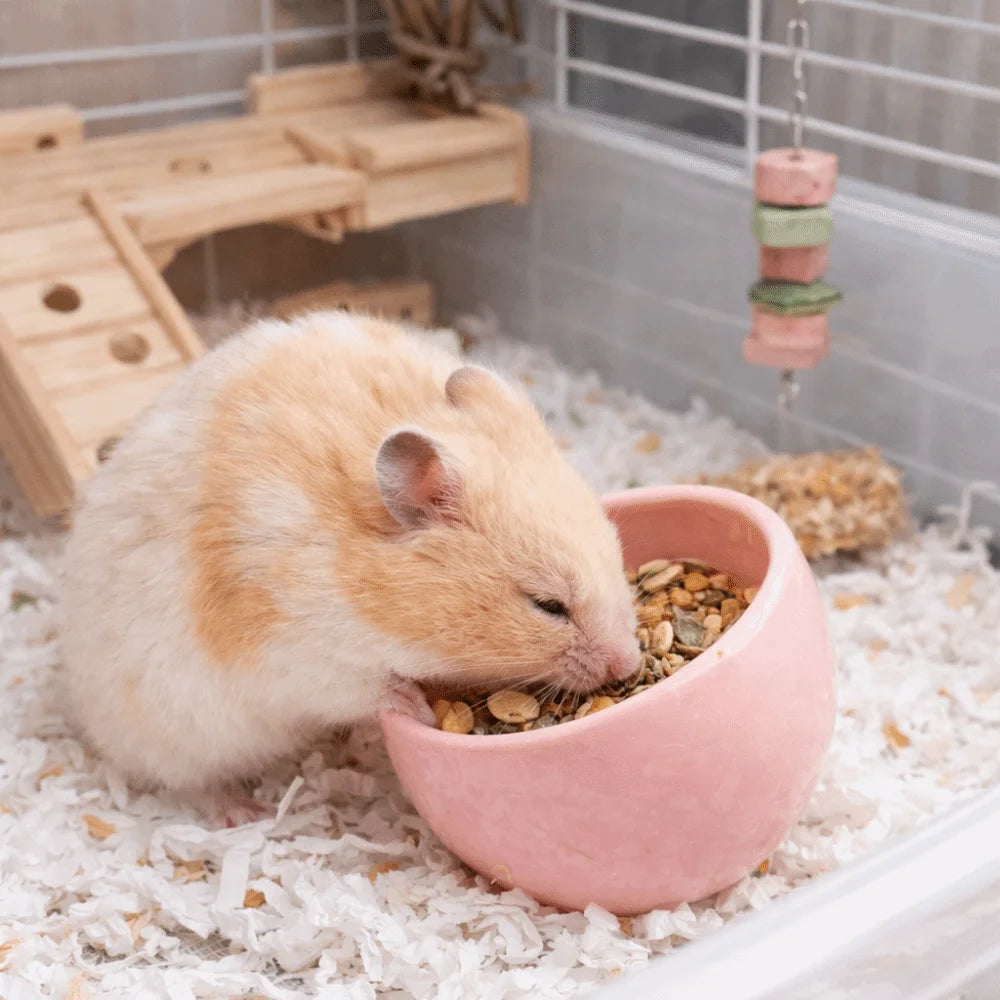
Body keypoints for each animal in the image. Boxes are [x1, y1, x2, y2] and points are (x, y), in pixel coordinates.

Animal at [59, 312, 639, 824]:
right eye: (548, 605)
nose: (629, 665)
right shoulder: (301, 653)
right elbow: (372, 688)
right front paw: (418, 708)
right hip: (177, 731)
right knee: (191, 781)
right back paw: (243, 813)